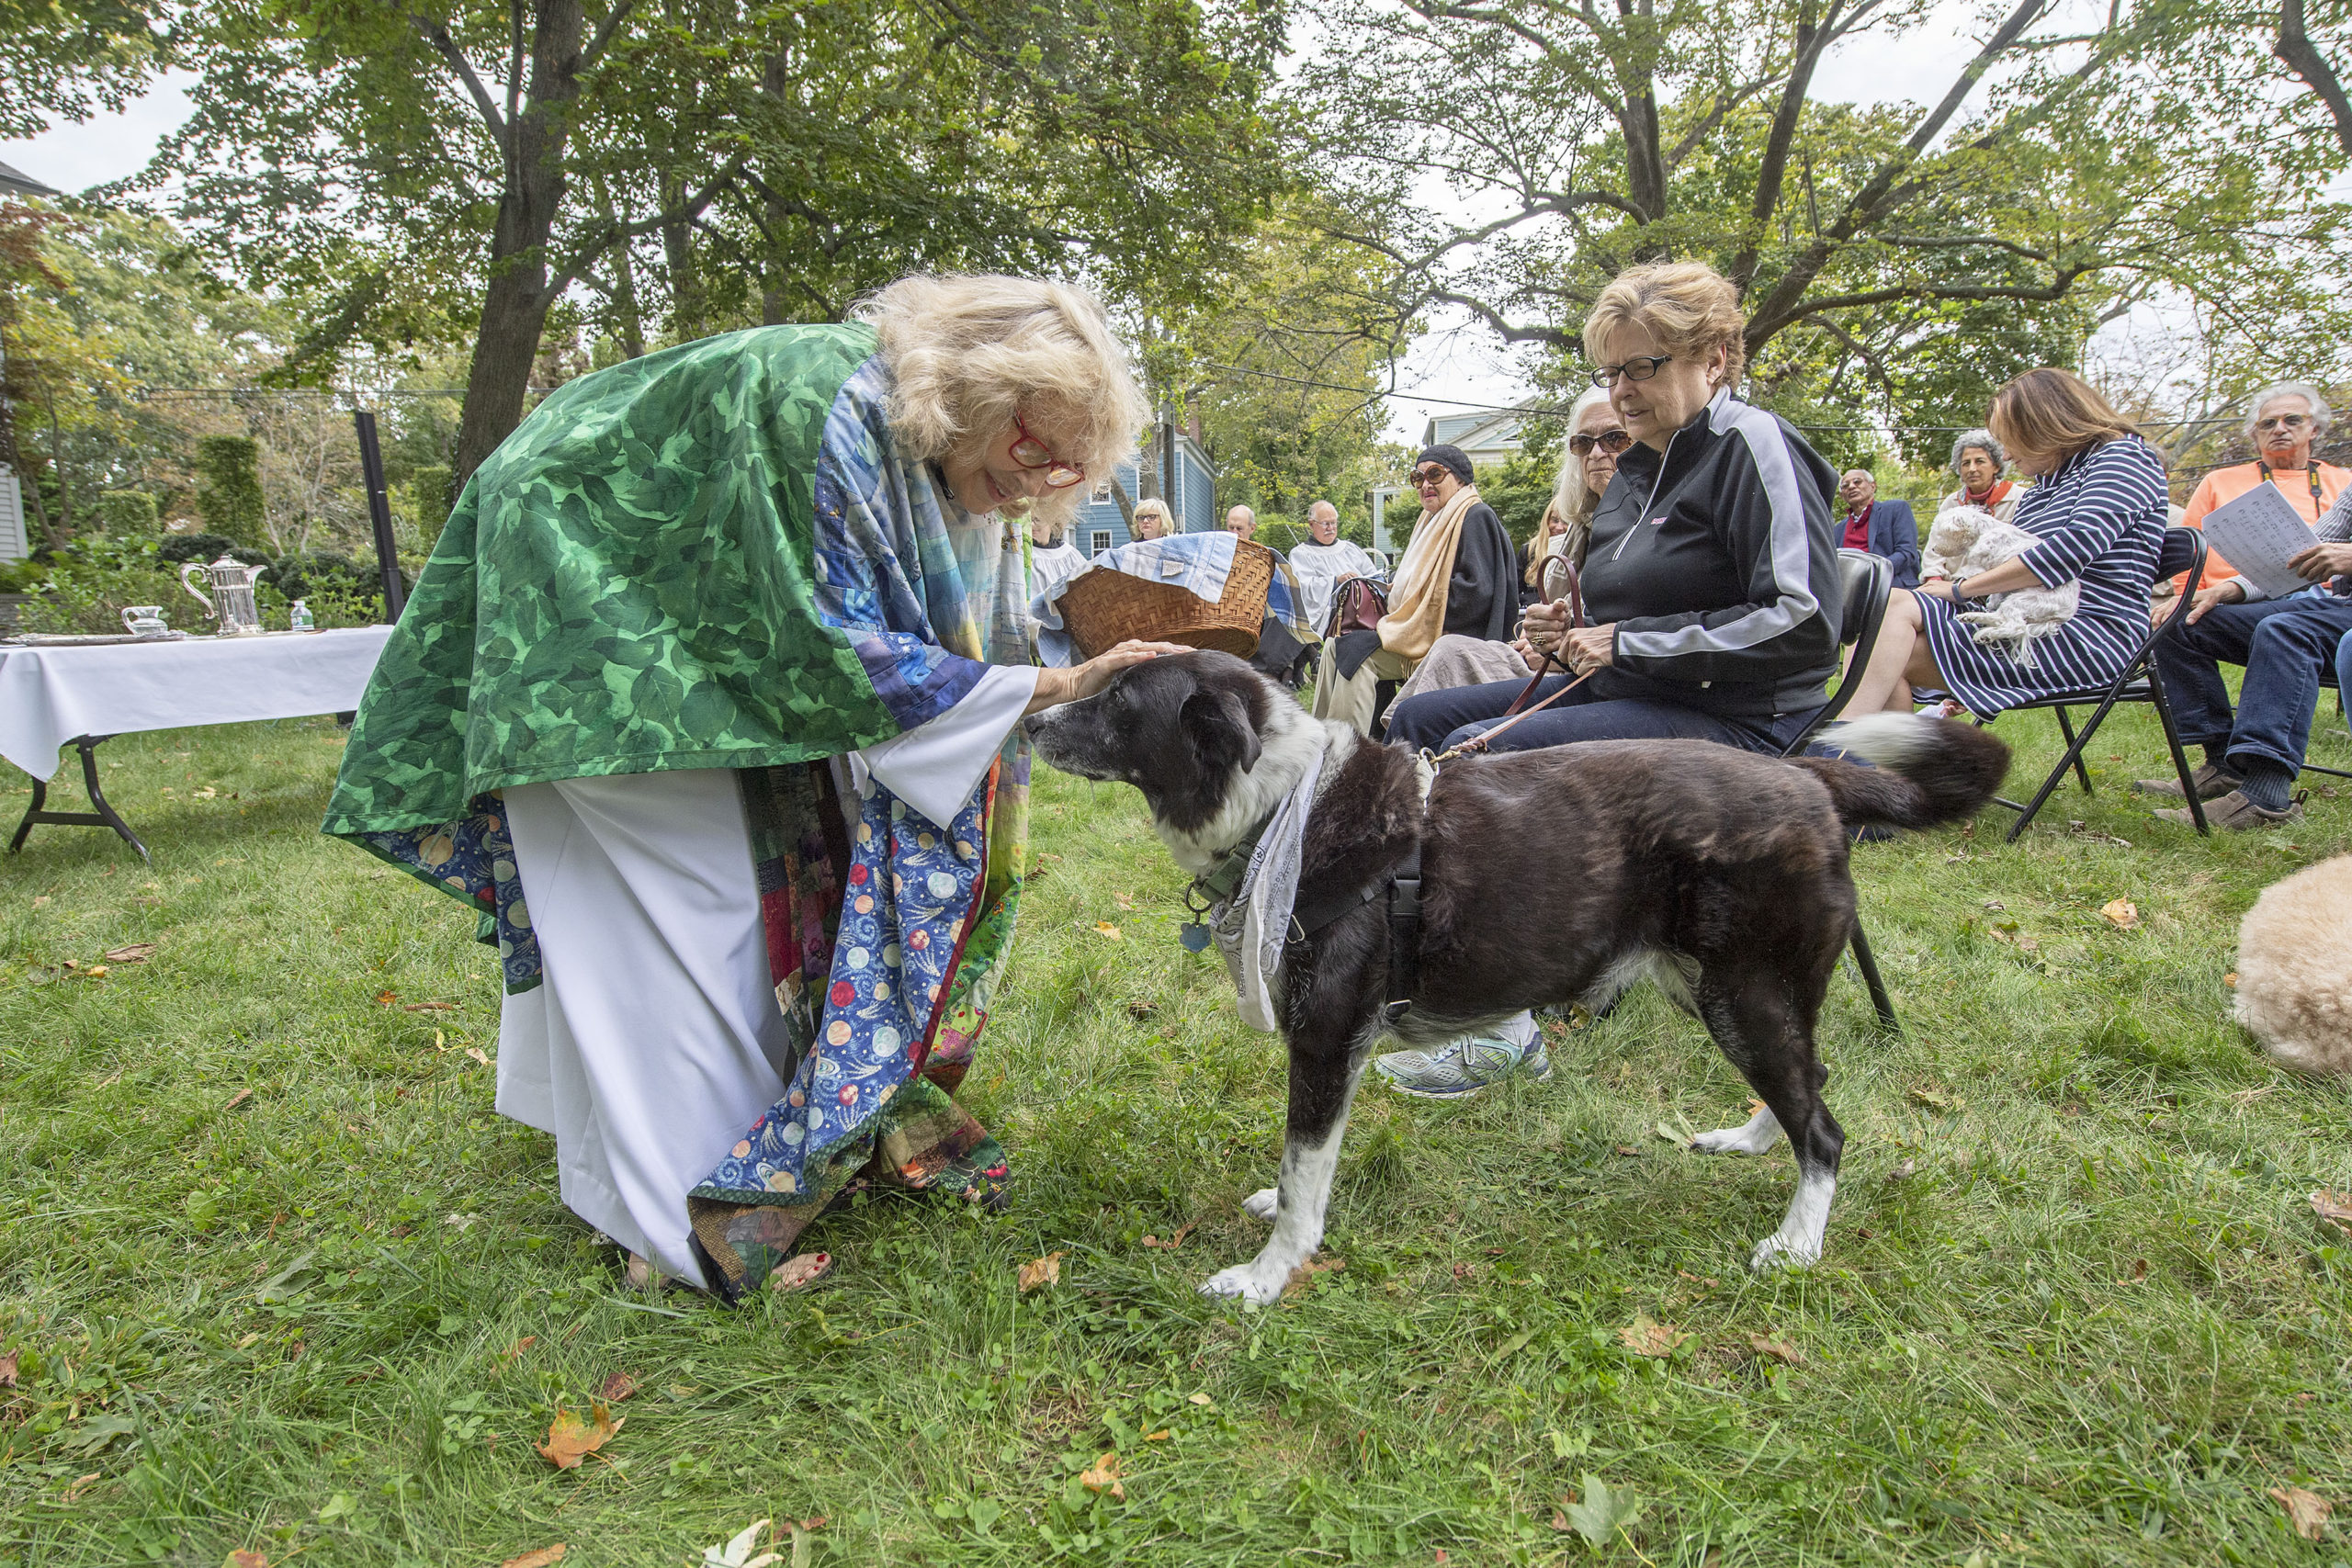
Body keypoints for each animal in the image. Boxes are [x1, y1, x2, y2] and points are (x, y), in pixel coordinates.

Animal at [1021, 658, 2013, 1306]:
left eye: (1118, 699)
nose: (1028, 720)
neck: (1285, 808)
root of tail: (1809, 778)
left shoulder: (1327, 1037)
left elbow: (1305, 1176)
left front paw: (1267, 1276)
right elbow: (1304, 1167)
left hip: (1747, 995)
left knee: (1828, 1128)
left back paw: (1798, 1241)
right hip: (1720, 992)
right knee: (1809, 1086)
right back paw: (1752, 1140)